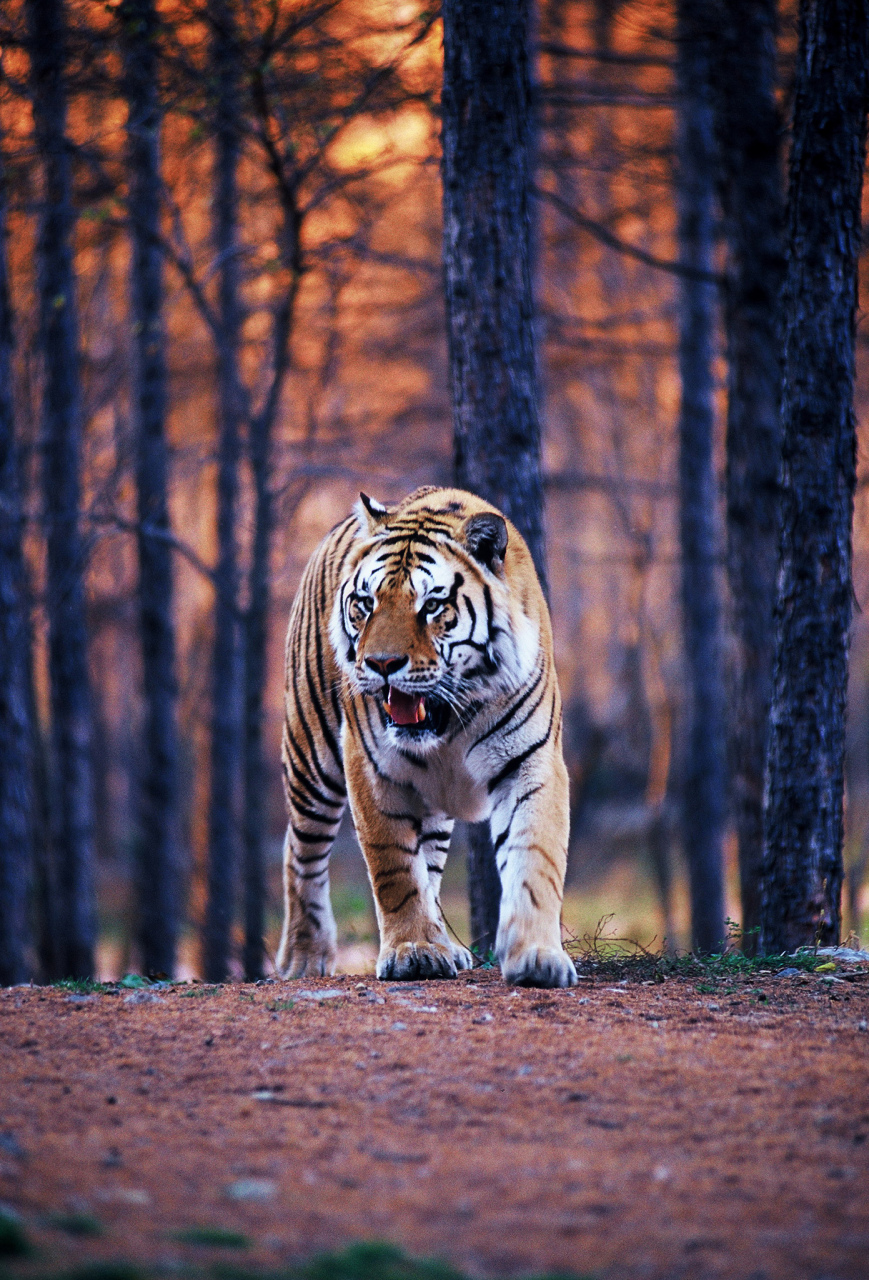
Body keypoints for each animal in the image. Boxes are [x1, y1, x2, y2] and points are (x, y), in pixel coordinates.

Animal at [276, 483, 578, 983]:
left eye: (432, 605)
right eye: (366, 604)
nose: (380, 664)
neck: (452, 718)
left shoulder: (531, 760)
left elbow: (536, 856)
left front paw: (537, 957)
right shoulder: (371, 765)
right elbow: (395, 867)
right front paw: (414, 950)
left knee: (431, 862)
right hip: (312, 761)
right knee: (301, 853)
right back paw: (304, 959)